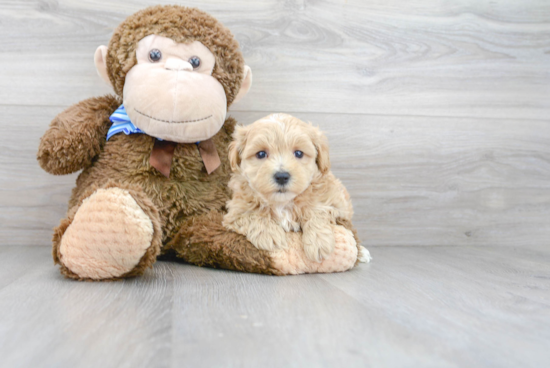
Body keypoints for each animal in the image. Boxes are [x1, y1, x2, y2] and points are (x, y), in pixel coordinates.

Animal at [225, 113, 358, 262]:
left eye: (299, 153)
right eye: (261, 154)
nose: (282, 176)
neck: (282, 203)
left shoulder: (333, 203)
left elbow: (316, 210)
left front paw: (319, 241)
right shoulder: (235, 212)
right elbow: (252, 215)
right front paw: (269, 235)